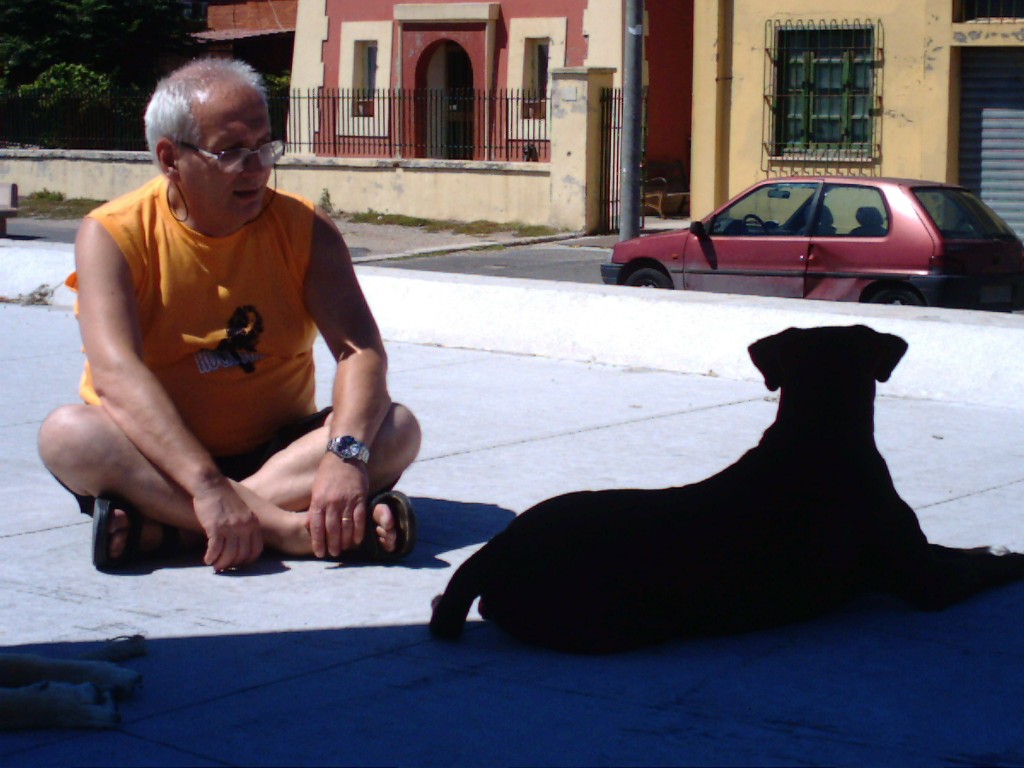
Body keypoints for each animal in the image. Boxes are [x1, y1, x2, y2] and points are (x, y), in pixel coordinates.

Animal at [428, 325, 1024, 655]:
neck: (817, 432)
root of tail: (498, 549)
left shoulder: (919, 550)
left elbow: (957, 549)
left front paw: (991, 547)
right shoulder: (926, 581)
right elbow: (972, 570)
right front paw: (1009, 559)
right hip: (618, 617)